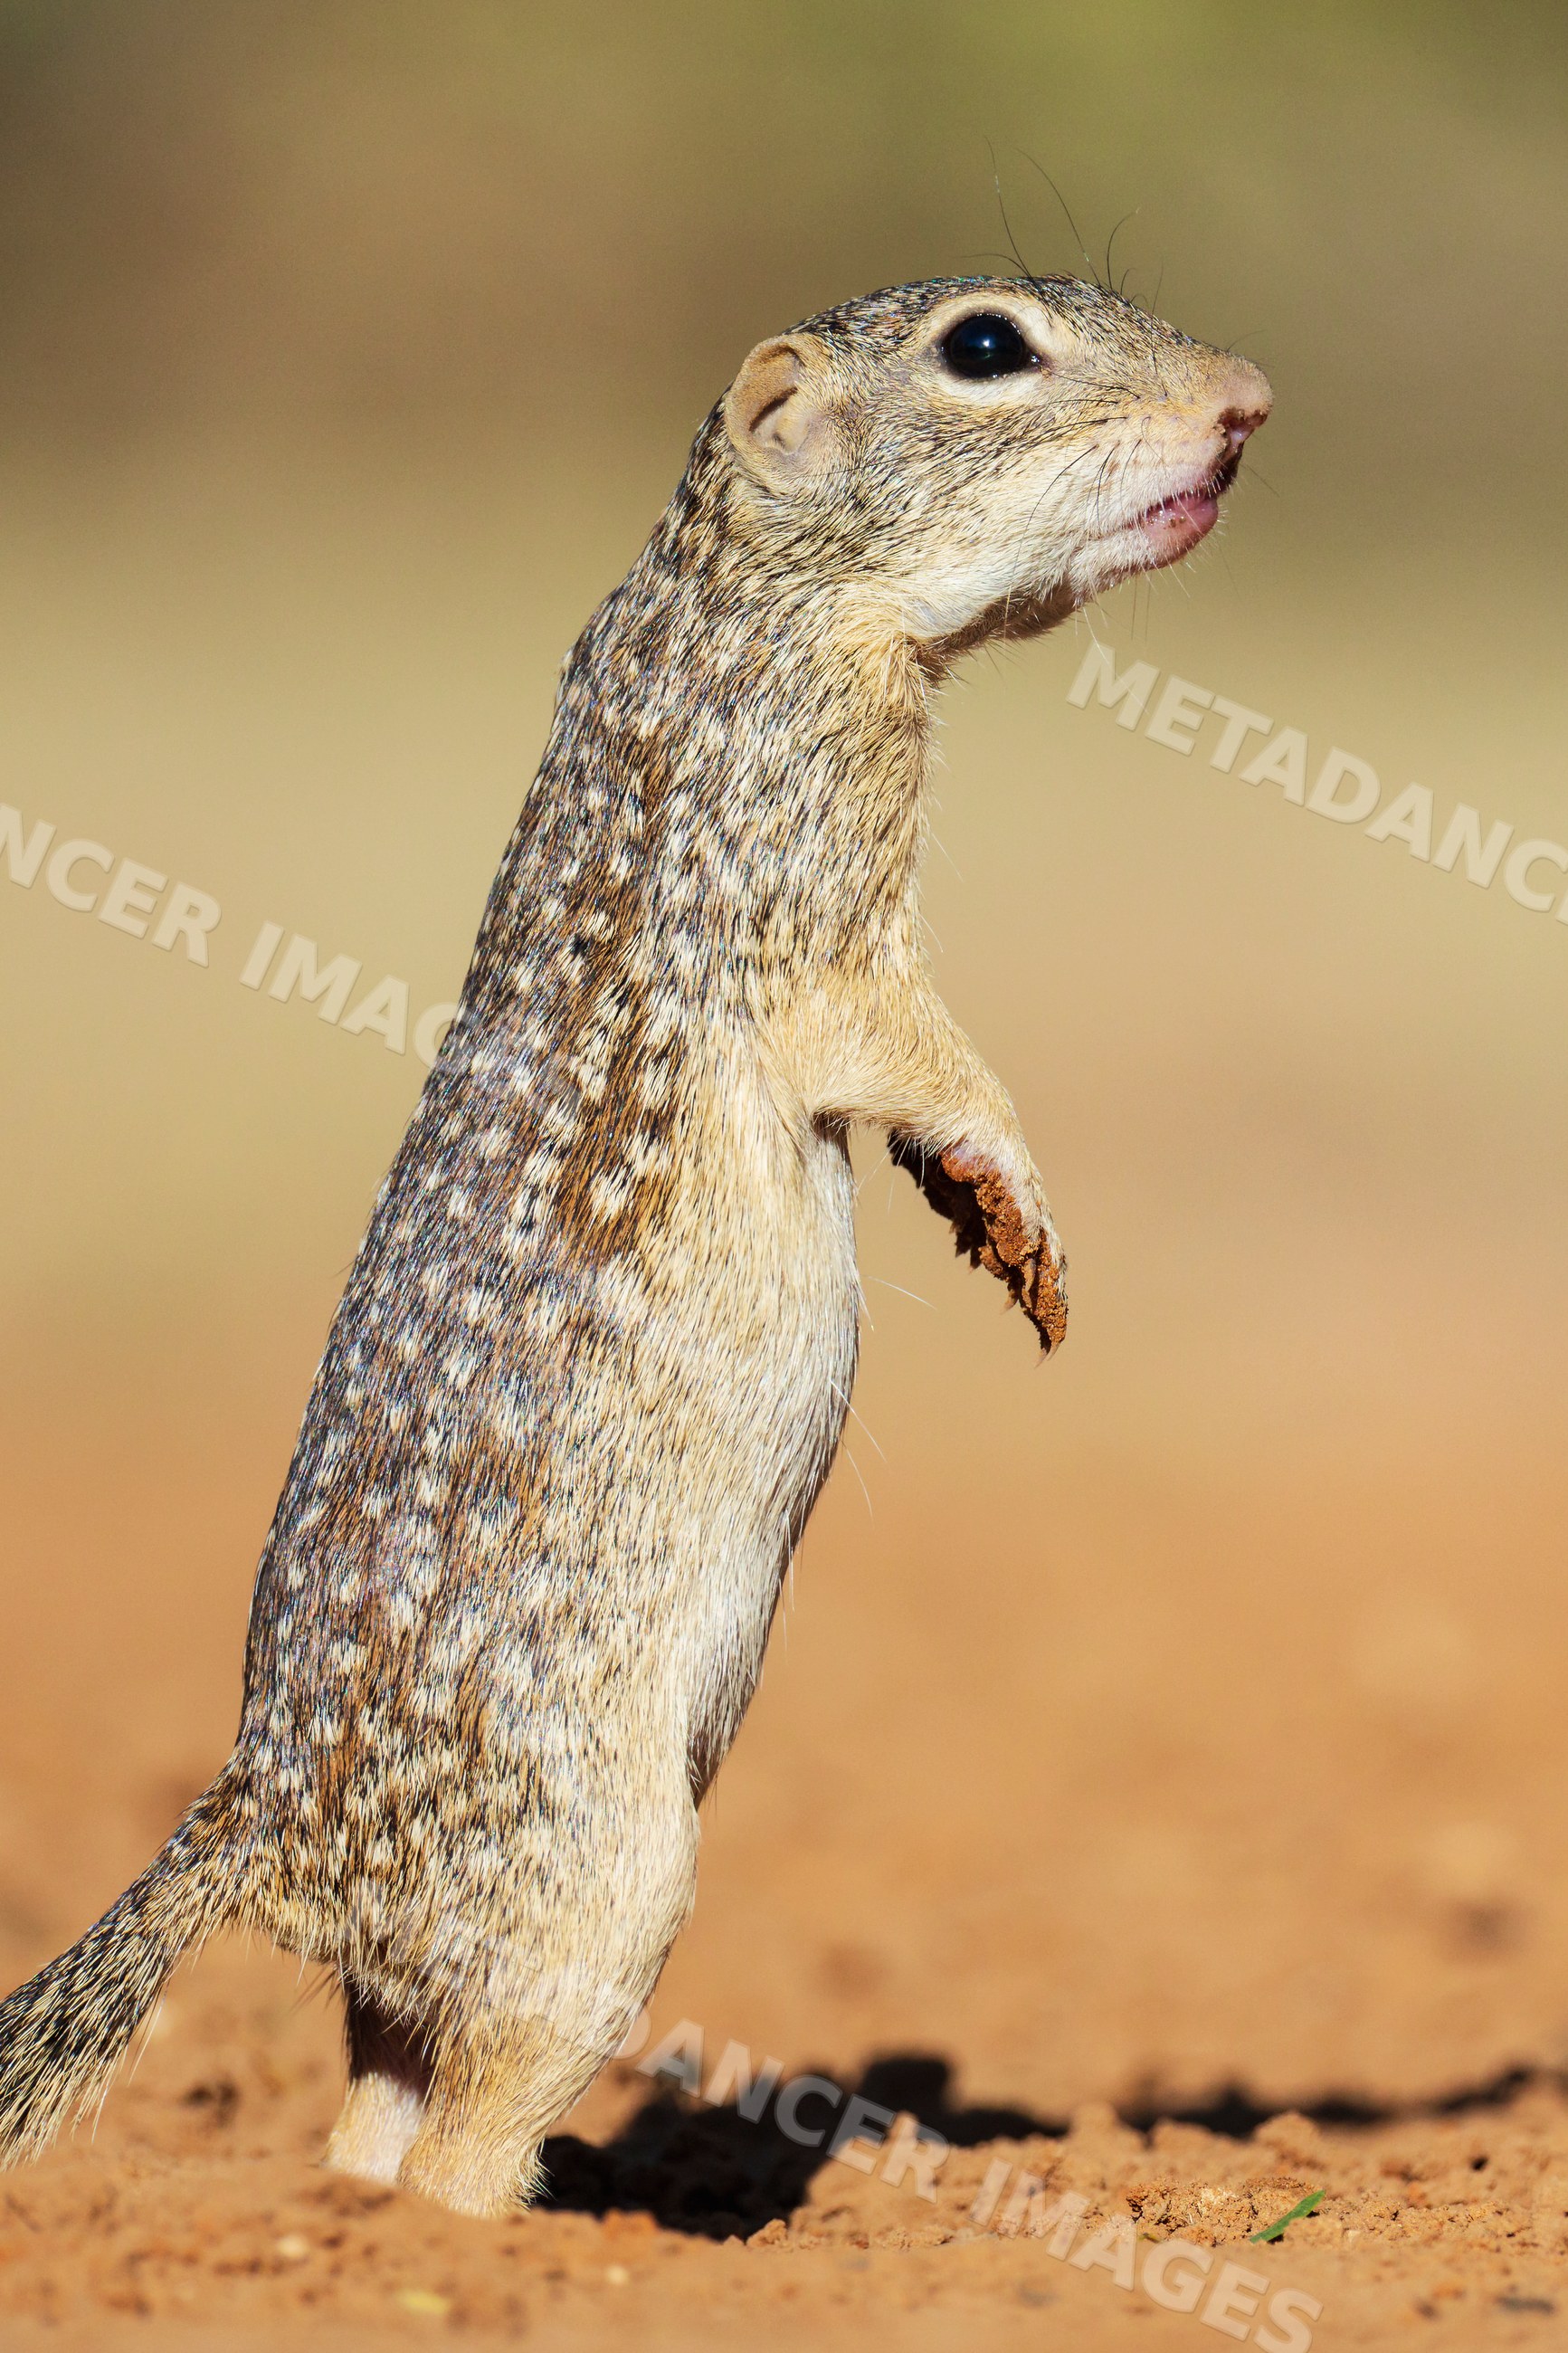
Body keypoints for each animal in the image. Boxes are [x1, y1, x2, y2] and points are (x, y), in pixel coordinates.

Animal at [0, 275, 1268, 2215]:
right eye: (985, 347)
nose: (1246, 403)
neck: (739, 587)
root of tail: (262, 1823)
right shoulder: (806, 859)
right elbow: (895, 1034)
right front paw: (1019, 1198)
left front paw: (978, 1215)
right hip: (597, 1889)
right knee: (468, 2129)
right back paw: (515, 2240)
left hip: (420, 1966)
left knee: (374, 2101)